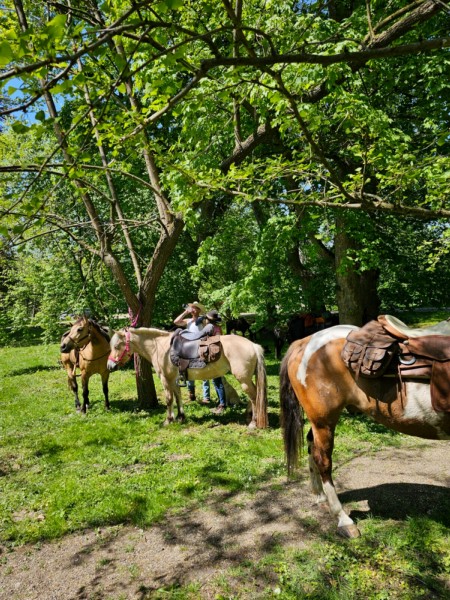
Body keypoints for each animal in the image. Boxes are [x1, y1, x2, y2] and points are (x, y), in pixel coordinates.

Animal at [107, 327, 268, 428]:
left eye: (117, 346)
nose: (110, 366)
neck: (160, 347)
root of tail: (253, 345)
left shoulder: (165, 379)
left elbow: (169, 399)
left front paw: (168, 420)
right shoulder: (174, 379)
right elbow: (178, 396)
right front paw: (180, 417)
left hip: (243, 379)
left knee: (254, 396)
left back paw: (253, 422)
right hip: (247, 379)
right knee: (253, 395)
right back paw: (249, 415)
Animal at [280, 323, 450, 538]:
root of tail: (304, 342)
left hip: (318, 421)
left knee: (311, 446)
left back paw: (320, 496)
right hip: (324, 421)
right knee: (323, 460)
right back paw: (343, 520)